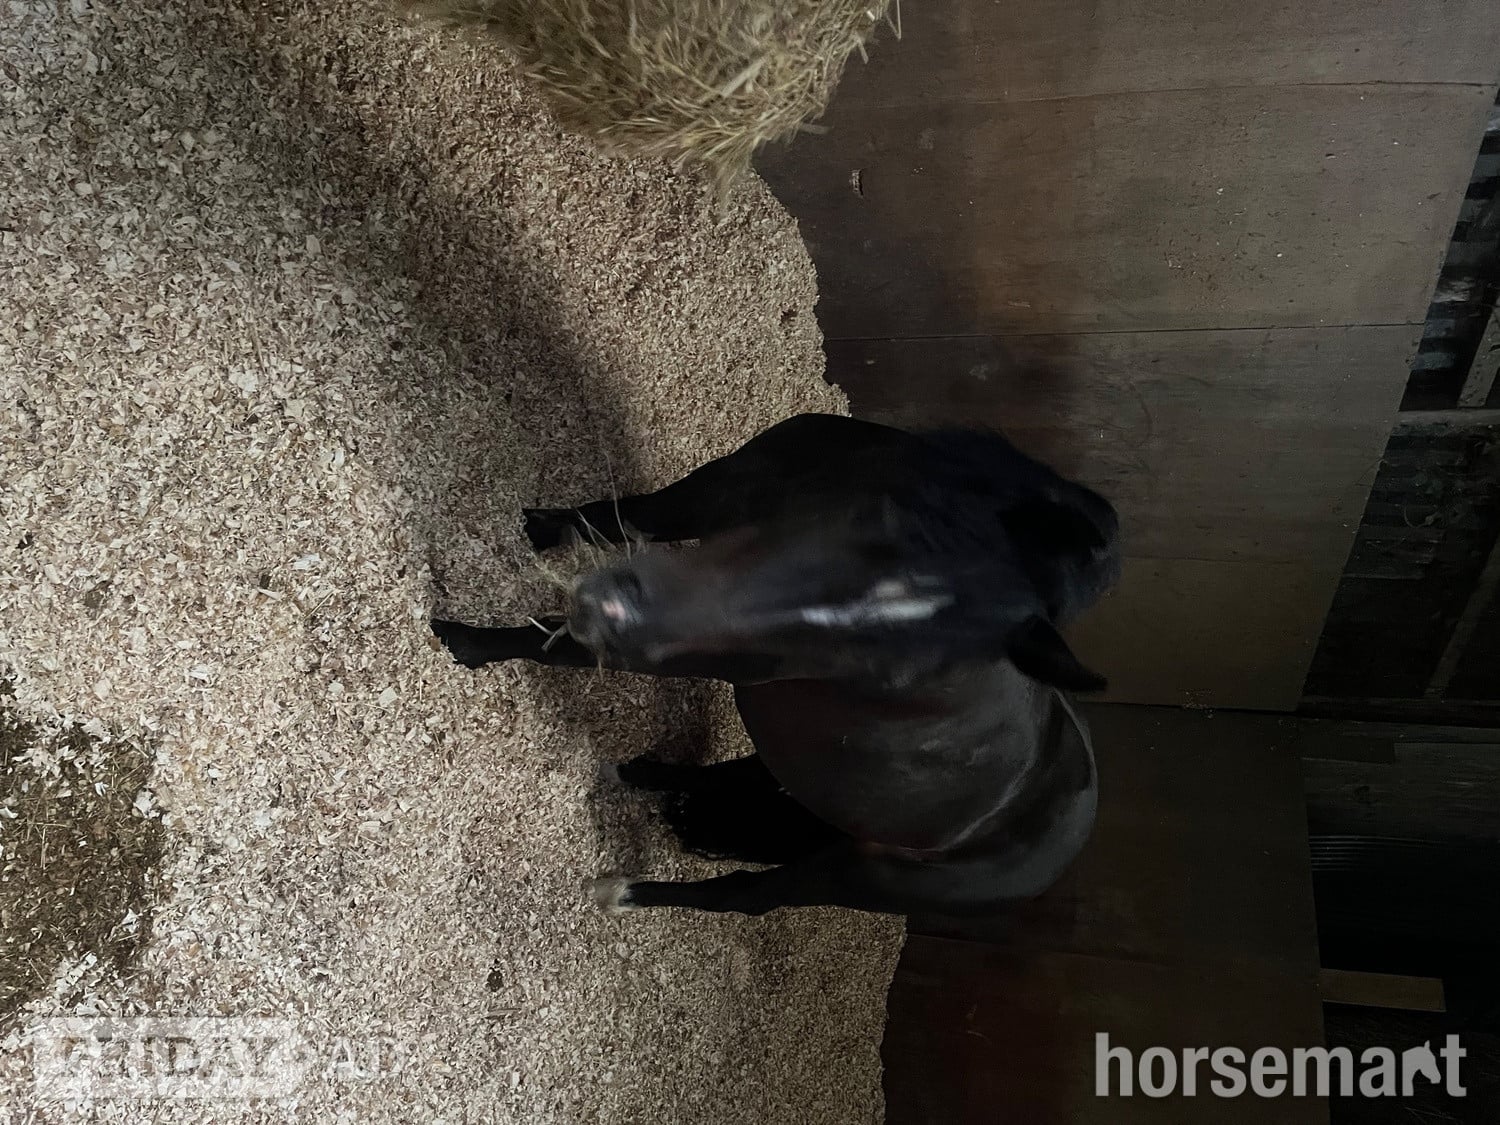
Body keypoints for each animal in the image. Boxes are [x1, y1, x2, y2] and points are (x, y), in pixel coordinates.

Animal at [432, 413, 1120, 918]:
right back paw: (642, 772)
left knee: (746, 897)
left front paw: (463, 641)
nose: (611, 611)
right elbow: (623, 516)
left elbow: (562, 644)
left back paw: (623, 891)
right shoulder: (716, 488)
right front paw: (547, 530)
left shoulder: (681, 648)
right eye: (887, 515)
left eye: (886, 675)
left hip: (850, 874)